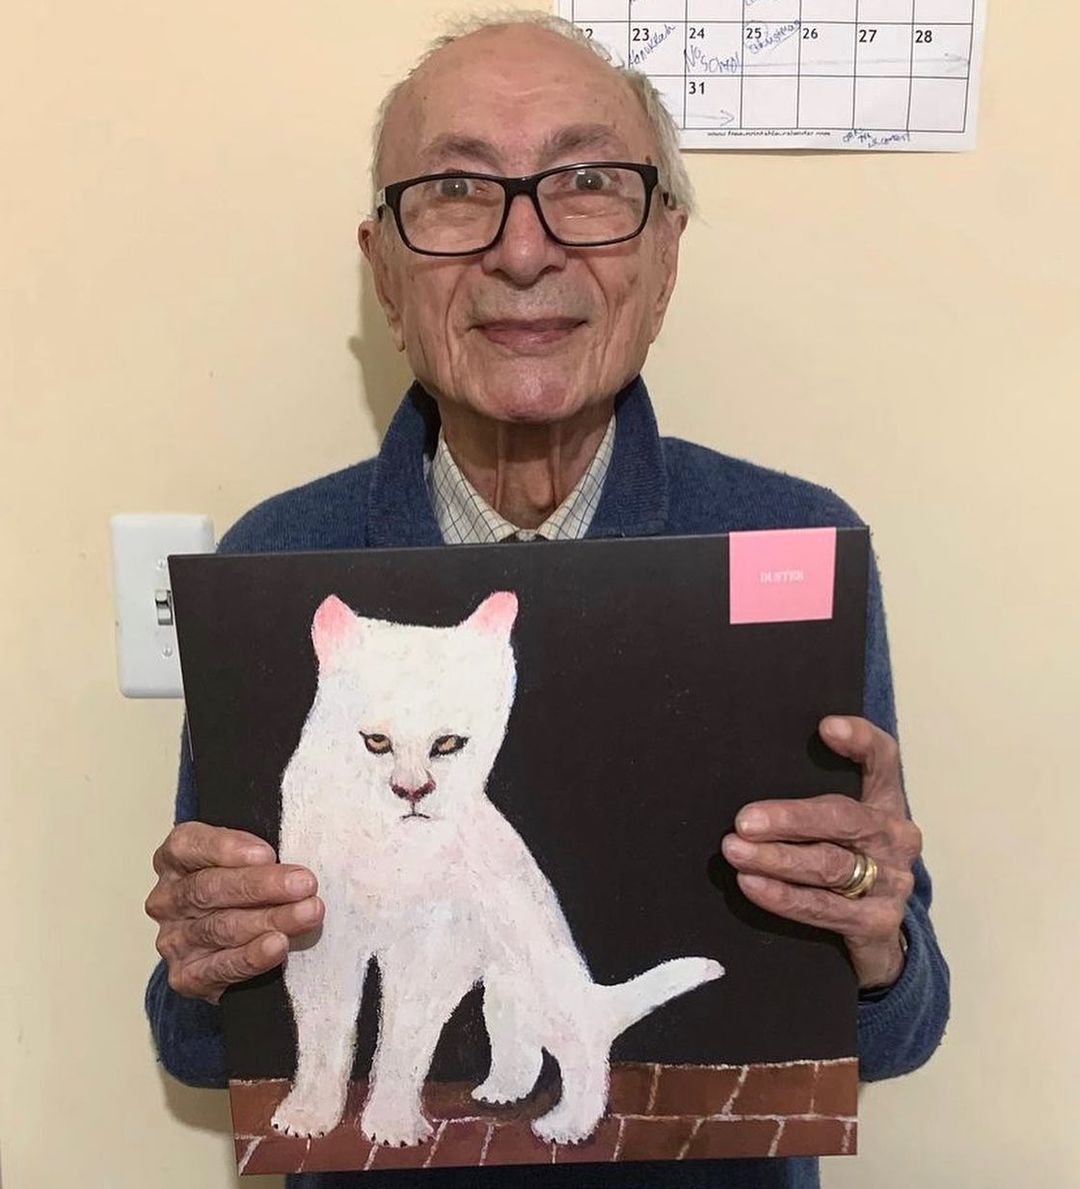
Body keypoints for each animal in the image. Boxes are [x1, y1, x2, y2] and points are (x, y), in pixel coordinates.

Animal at [270, 590, 723, 1148]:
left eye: (447, 744)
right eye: (375, 741)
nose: (412, 791)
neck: (387, 845)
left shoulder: (430, 947)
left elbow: (404, 1038)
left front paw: (392, 1124)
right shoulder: (325, 940)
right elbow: (324, 1029)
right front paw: (309, 1115)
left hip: (536, 976)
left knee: (584, 1049)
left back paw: (567, 1125)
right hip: (503, 986)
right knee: (520, 1044)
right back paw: (501, 1092)